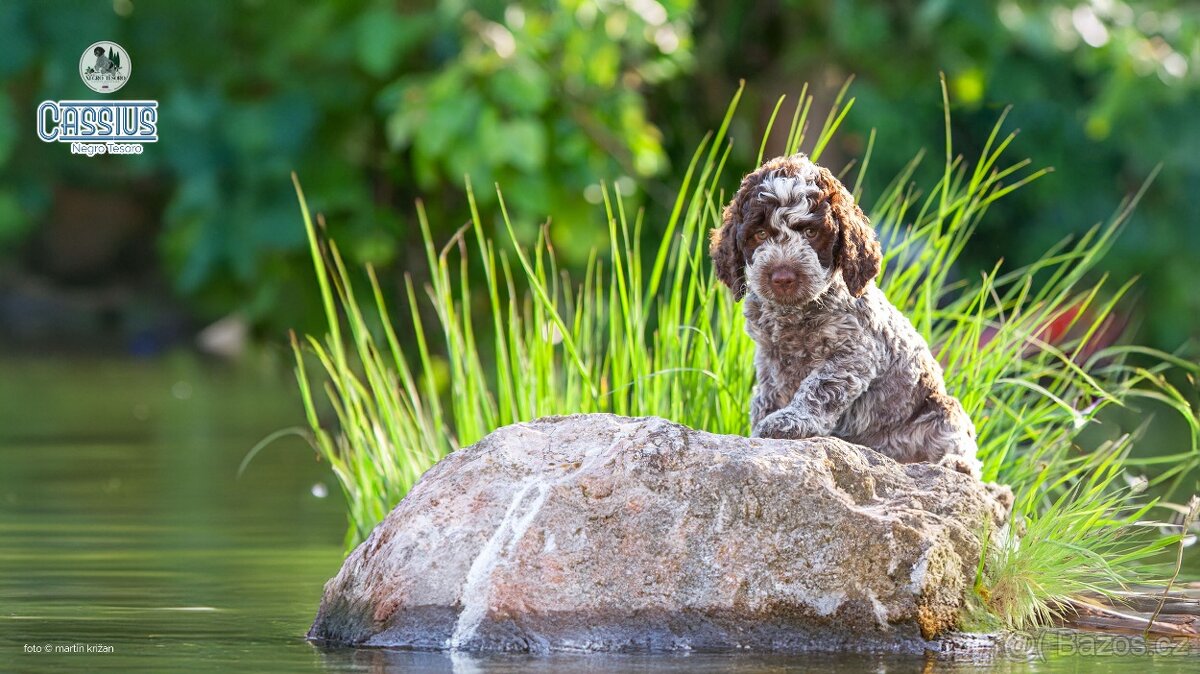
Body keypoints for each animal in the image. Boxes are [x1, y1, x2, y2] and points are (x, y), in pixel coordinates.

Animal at [705, 154, 979, 474]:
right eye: (760, 234)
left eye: (811, 233)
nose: (782, 277)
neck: (794, 314)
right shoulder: (769, 357)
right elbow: (767, 396)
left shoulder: (854, 353)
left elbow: (818, 387)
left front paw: (790, 422)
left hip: (944, 410)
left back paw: (956, 464)